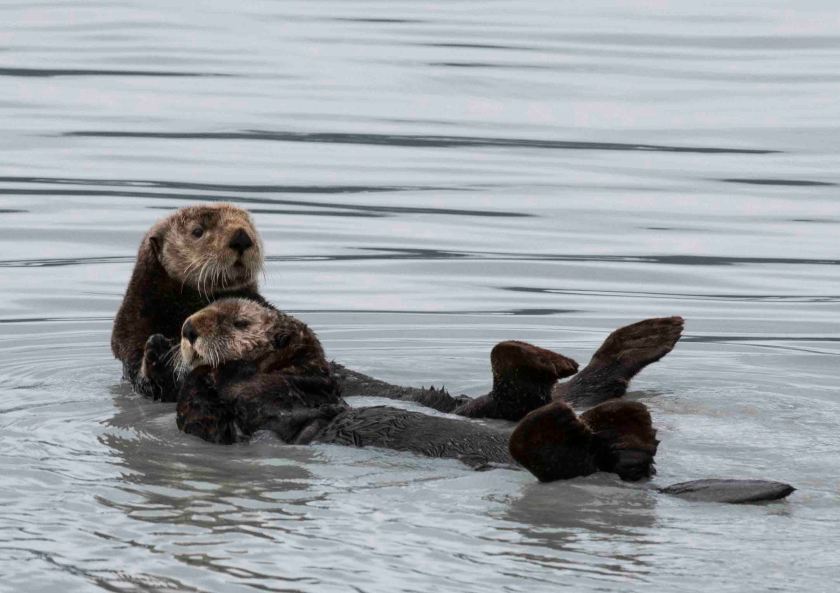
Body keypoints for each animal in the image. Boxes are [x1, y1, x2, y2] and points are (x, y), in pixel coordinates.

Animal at [111, 204, 267, 401]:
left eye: (250, 225)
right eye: (197, 231)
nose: (241, 236)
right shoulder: (132, 334)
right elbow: (152, 385)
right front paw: (159, 349)